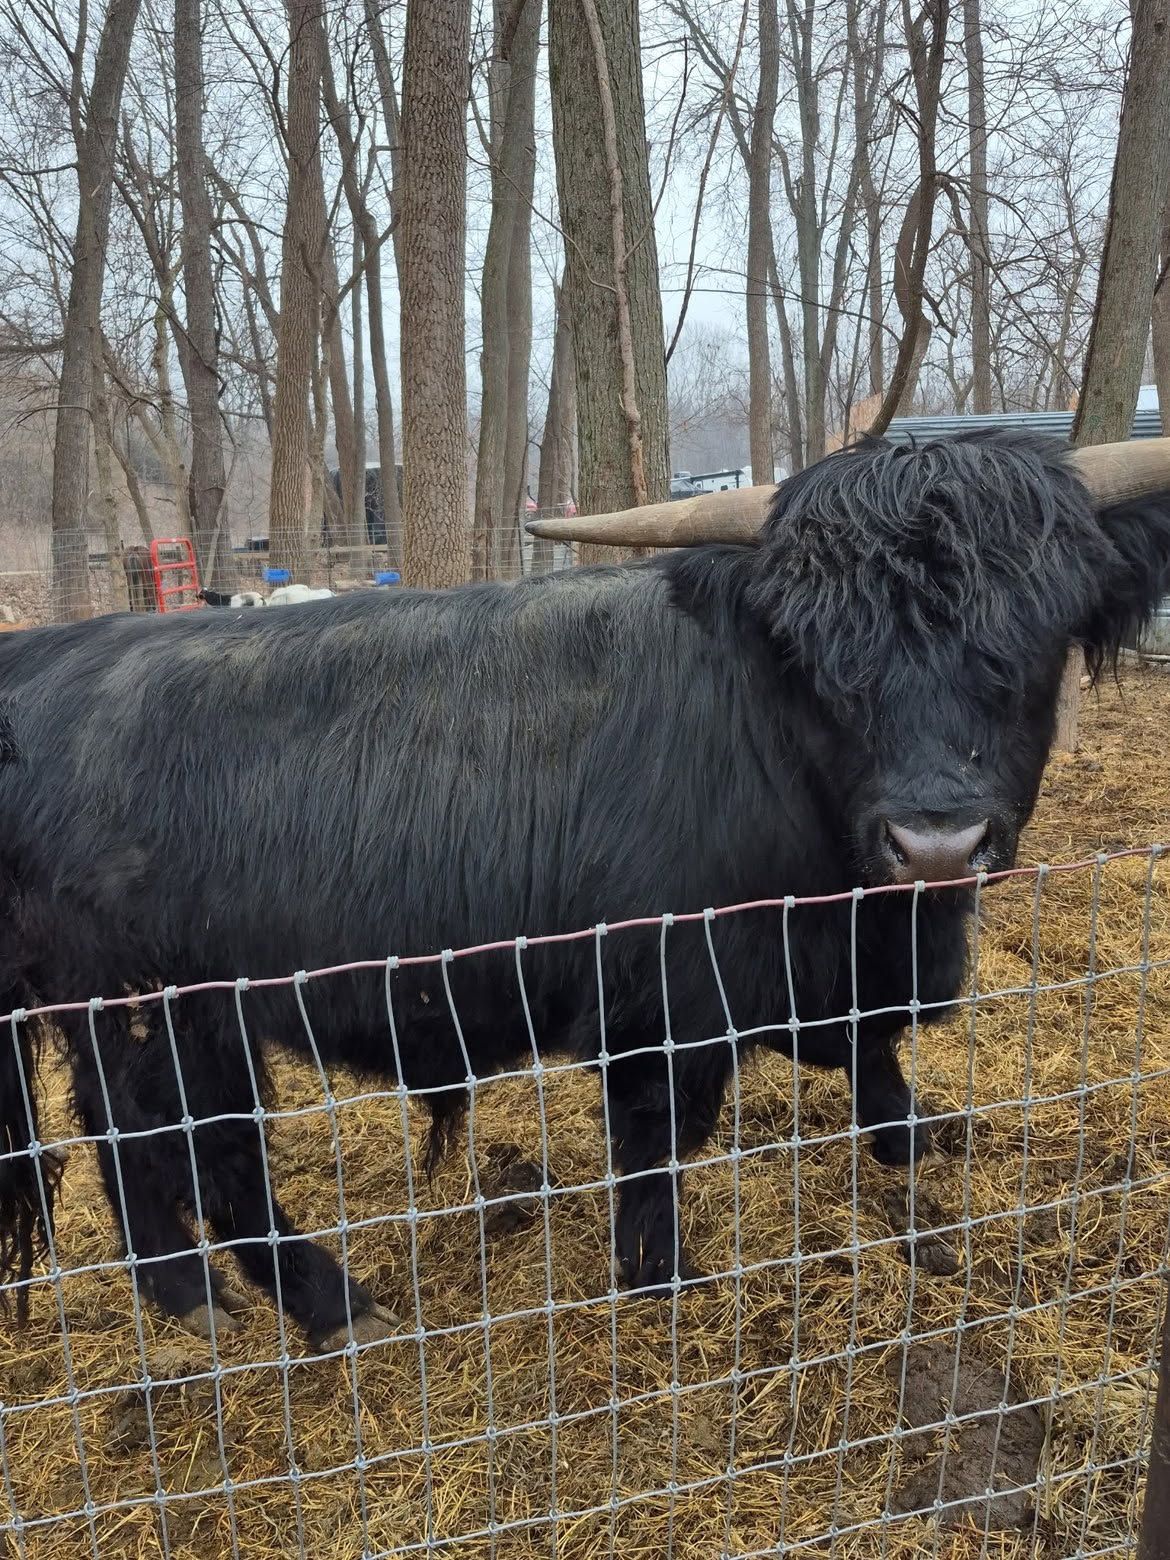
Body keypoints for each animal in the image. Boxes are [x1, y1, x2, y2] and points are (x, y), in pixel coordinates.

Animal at [1, 430, 1168, 1348]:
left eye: (1032, 643)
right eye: (817, 653)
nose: (934, 839)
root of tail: (45, 659)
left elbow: (873, 1058)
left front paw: (911, 1141)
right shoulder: (662, 1002)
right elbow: (655, 1146)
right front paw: (664, 1278)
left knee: (117, 1134)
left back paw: (181, 1294)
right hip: (164, 1014)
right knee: (194, 1145)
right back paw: (320, 1302)